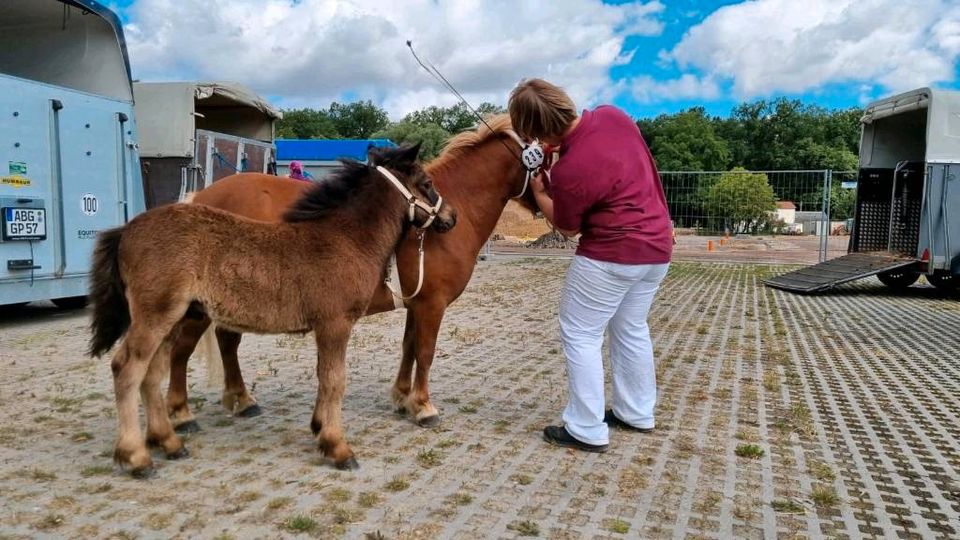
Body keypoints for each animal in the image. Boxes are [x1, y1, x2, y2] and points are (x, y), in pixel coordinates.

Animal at [86, 141, 454, 474]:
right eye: (427, 182)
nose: (452, 217)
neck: (345, 238)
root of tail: (127, 229)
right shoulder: (335, 324)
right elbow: (335, 380)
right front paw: (337, 446)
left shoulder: (324, 327)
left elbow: (323, 377)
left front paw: (319, 429)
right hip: (155, 316)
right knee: (127, 368)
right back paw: (136, 456)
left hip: (173, 319)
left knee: (152, 372)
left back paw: (168, 442)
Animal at [166, 114, 540, 430]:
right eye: (426, 183)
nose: (451, 218)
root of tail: (200, 198)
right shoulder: (432, 304)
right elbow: (425, 352)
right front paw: (423, 406)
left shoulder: (416, 303)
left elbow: (408, 346)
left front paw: (402, 398)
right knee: (183, 347)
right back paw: (183, 414)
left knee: (226, 341)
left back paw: (241, 400)